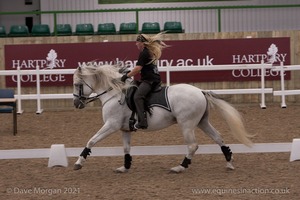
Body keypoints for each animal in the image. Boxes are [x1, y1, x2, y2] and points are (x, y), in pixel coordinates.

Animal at [72, 64, 253, 173]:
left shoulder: (111, 125)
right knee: (218, 138)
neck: (114, 94)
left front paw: (79, 163)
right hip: (202, 122)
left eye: (77, 84)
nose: (76, 103)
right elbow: (126, 148)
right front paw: (125, 167)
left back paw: (180, 167)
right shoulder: (124, 129)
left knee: (193, 145)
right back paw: (229, 162)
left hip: (187, 125)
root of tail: (200, 91)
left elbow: (91, 141)